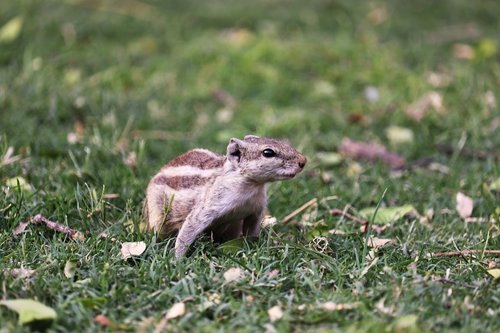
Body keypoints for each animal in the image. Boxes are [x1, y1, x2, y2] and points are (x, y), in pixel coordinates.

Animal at [145, 135, 306, 256]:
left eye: (282, 142)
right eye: (268, 153)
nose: (303, 161)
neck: (251, 187)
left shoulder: (255, 211)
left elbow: (252, 231)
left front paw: (253, 248)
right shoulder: (209, 206)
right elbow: (189, 229)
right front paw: (177, 260)